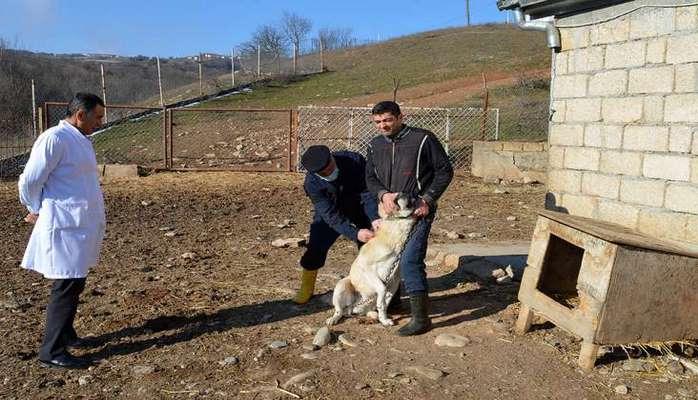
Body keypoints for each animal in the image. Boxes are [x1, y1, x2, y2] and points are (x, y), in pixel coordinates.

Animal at [324, 194, 416, 328]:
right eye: (395, 198)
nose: (406, 193)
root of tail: (354, 308)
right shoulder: (367, 268)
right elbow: (382, 289)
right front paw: (384, 319)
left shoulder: (394, 281)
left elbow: (383, 303)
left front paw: (384, 320)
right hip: (342, 285)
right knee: (339, 310)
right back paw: (333, 319)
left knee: (368, 309)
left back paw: (372, 315)